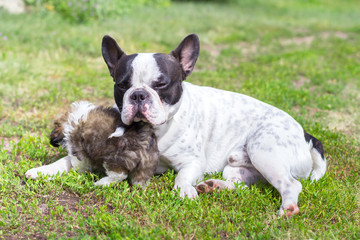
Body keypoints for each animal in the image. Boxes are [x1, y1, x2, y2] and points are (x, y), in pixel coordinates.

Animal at [26, 101, 158, 188]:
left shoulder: (78, 149)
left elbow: (76, 162)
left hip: (114, 157)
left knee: (119, 175)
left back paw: (101, 183)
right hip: (146, 163)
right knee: (139, 179)